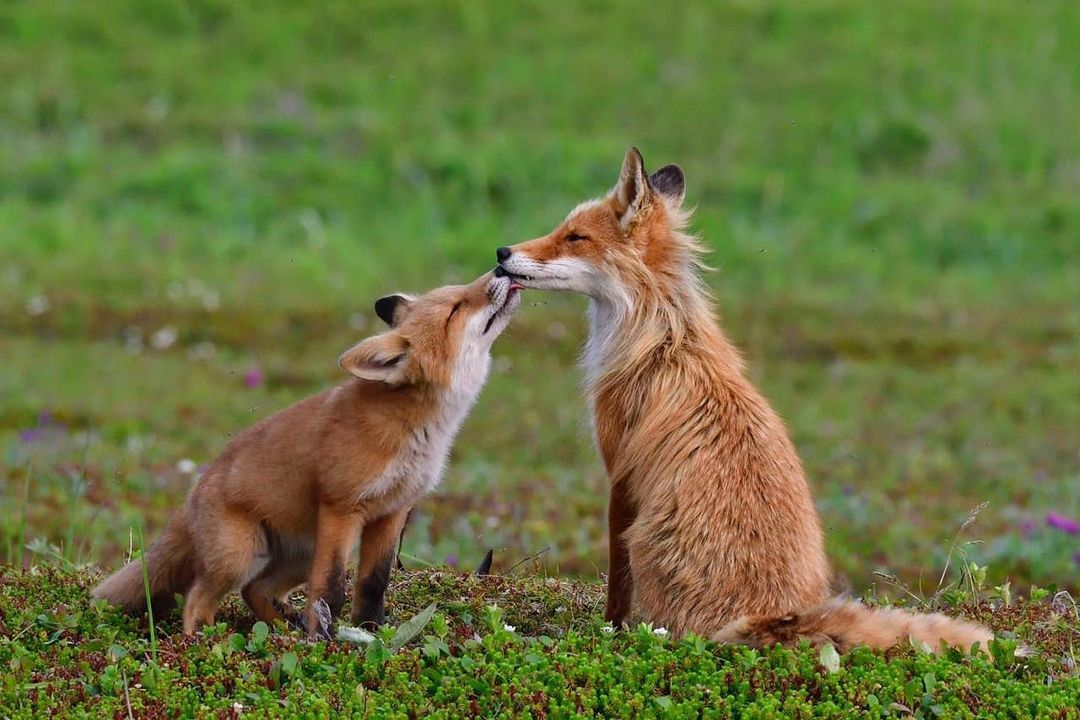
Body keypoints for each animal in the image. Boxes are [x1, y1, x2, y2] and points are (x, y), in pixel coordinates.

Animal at [92, 273, 522, 639]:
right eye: (455, 308)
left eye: (460, 292)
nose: (501, 268)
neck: (416, 430)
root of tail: (193, 493)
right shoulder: (341, 509)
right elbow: (330, 589)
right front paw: (325, 641)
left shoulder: (391, 512)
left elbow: (372, 584)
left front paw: (369, 633)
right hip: (242, 555)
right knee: (198, 597)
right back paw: (203, 641)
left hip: (298, 554)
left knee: (255, 591)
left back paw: (283, 630)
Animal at [494, 147, 989, 651]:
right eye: (564, 228)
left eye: (574, 237)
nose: (501, 253)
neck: (660, 336)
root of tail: (773, 614)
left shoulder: (620, 474)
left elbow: (616, 579)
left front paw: (609, 629)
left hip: (647, 543)